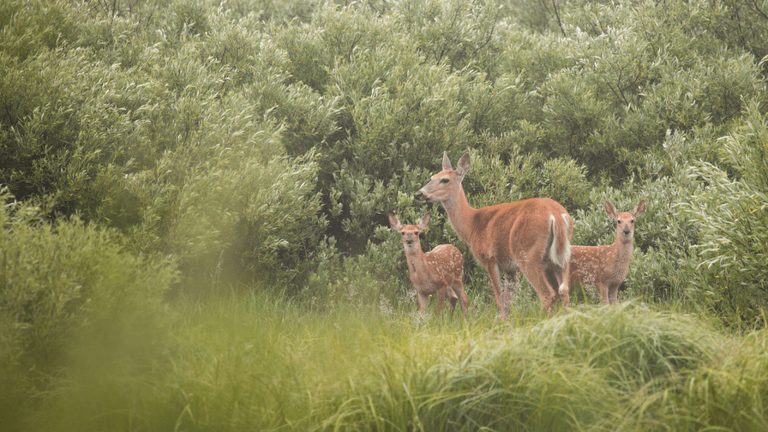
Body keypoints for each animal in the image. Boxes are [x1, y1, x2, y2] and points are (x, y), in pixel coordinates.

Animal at [415, 152, 573, 318]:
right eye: (432, 177)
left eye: (445, 180)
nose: (419, 194)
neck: (472, 225)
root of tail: (556, 215)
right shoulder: (511, 268)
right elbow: (508, 299)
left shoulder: (489, 258)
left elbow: (499, 297)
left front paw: (502, 320)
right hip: (561, 256)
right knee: (564, 290)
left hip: (528, 254)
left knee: (547, 294)